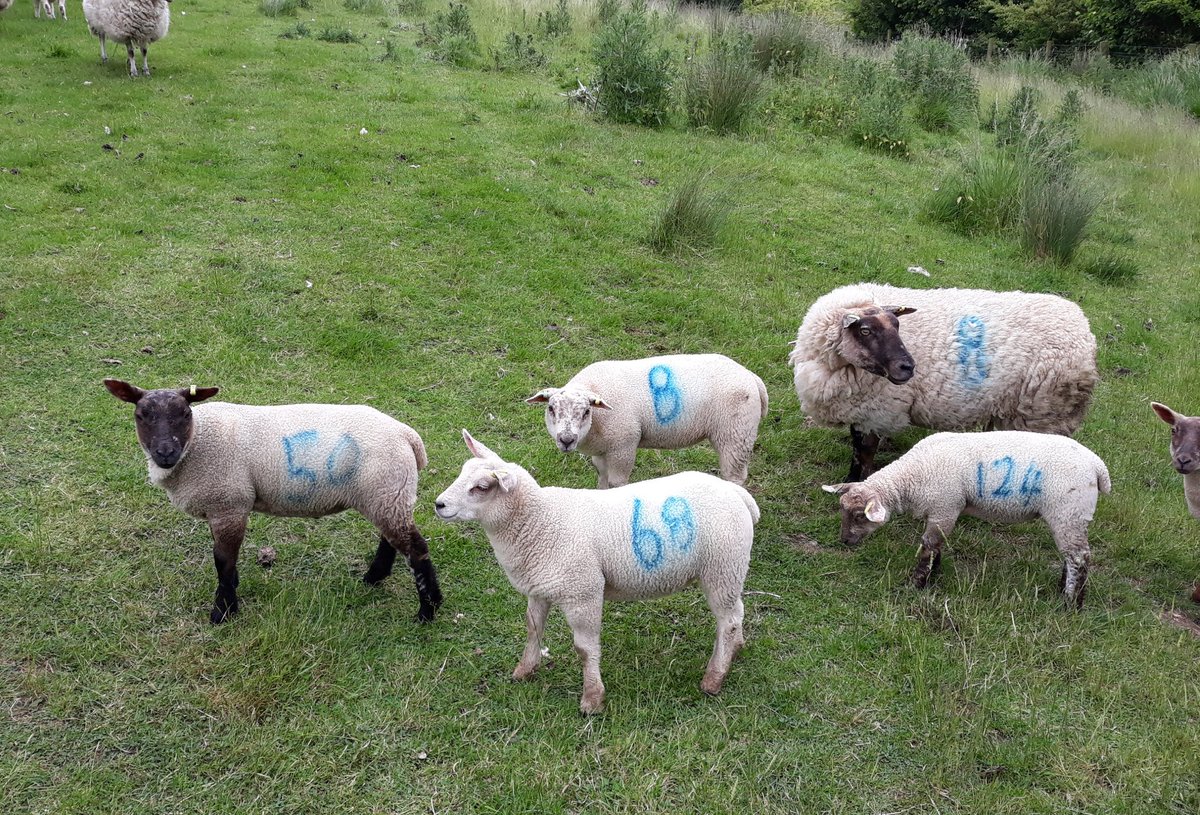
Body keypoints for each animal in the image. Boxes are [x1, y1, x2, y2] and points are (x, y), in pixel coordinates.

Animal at [104, 379, 442, 624]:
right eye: (140, 416)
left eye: (185, 414)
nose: (165, 453)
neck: (197, 442)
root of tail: (408, 436)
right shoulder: (222, 507)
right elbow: (226, 560)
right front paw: (232, 589)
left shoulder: (229, 504)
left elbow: (222, 560)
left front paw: (223, 612)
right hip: (387, 493)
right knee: (393, 539)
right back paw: (374, 578)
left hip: (385, 489)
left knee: (416, 548)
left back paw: (428, 611)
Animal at [434, 430, 759, 714]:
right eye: (462, 473)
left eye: (481, 487)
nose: (439, 504)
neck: (539, 521)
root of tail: (736, 493)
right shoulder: (539, 588)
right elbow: (533, 629)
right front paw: (524, 670)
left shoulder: (584, 592)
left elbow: (584, 649)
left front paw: (592, 699)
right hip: (729, 570)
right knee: (736, 612)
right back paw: (735, 650)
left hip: (722, 567)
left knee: (728, 621)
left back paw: (714, 678)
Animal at [526, 353, 769, 489]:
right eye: (551, 408)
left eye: (586, 411)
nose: (566, 440)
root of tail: (751, 377)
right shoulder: (603, 450)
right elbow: (602, 479)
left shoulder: (624, 445)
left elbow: (616, 483)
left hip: (736, 434)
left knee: (735, 476)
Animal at [790, 283, 1098, 481]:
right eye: (865, 331)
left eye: (898, 325)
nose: (908, 367)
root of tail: (1086, 333)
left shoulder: (877, 410)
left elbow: (863, 452)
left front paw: (852, 483)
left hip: (1043, 414)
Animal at [823, 430, 1110, 608]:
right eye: (842, 510)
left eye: (859, 516)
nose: (844, 540)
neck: (911, 476)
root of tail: (1098, 467)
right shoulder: (941, 511)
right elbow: (936, 545)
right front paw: (935, 572)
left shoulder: (945, 506)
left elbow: (928, 546)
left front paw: (918, 583)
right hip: (1071, 516)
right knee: (1071, 556)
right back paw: (1063, 588)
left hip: (1069, 511)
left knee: (1079, 558)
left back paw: (1071, 603)